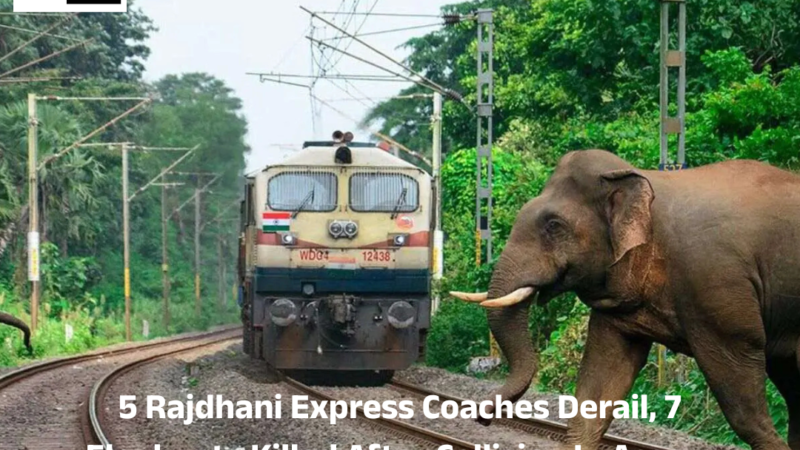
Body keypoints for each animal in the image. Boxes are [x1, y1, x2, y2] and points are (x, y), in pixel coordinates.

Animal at [451, 150, 800, 450]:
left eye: (553, 225)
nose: (481, 417)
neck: (644, 181)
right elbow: (601, 379)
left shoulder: (716, 286)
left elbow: (742, 400)